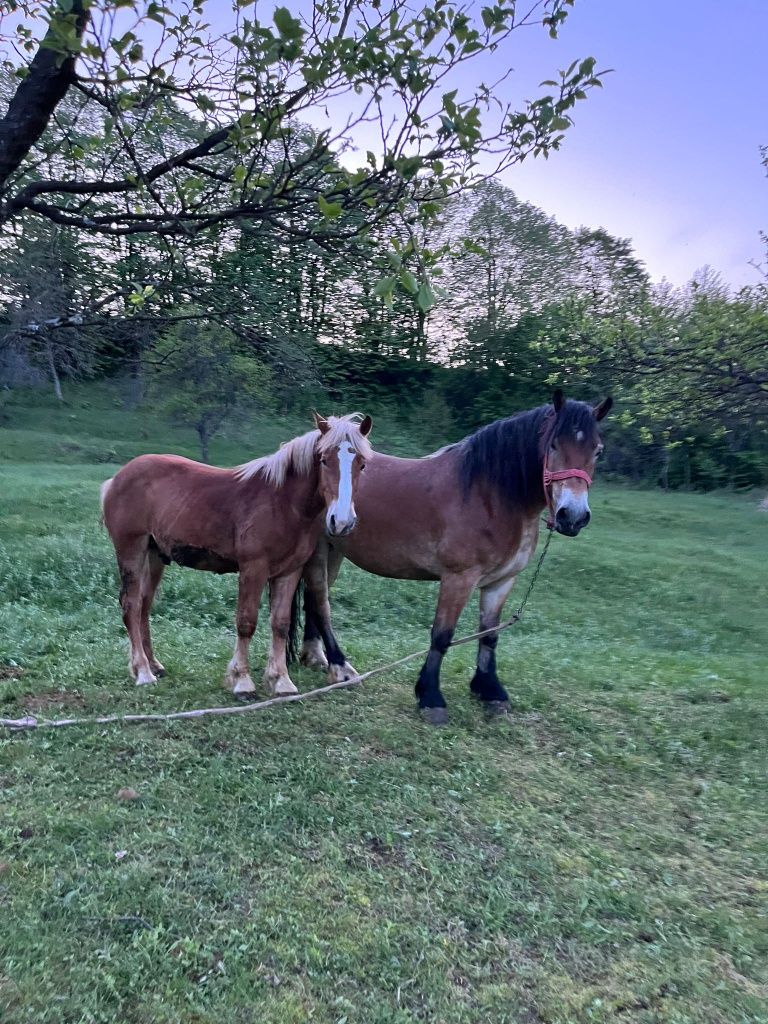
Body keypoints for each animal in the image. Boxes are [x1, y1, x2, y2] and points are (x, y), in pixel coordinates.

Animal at [101, 413, 372, 696]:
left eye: (362, 464)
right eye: (324, 460)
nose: (341, 522)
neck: (283, 503)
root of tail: (117, 478)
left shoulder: (289, 571)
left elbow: (280, 624)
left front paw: (281, 681)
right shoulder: (254, 569)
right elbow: (246, 621)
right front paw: (242, 680)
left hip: (154, 556)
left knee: (144, 604)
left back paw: (153, 665)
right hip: (131, 550)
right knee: (131, 605)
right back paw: (143, 672)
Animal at [288, 387, 614, 724]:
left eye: (598, 451)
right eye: (553, 445)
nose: (572, 516)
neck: (490, 495)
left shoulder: (502, 581)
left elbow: (489, 635)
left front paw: (490, 691)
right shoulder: (459, 578)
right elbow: (442, 635)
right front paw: (431, 697)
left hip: (335, 549)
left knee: (315, 599)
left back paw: (316, 658)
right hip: (318, 550)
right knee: (320, 601)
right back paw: (340, 668)